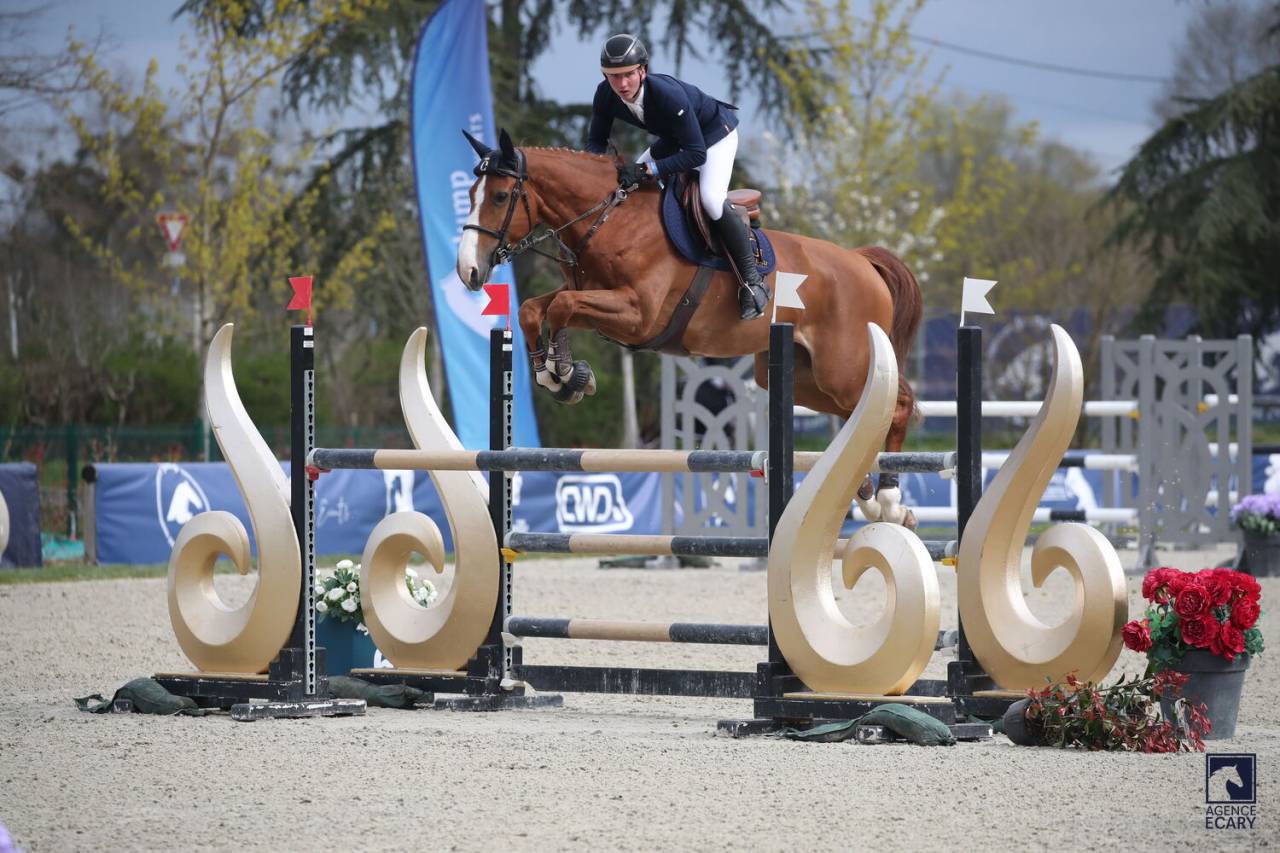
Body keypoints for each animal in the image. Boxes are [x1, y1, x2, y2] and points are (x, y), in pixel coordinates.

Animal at [455, 130, 924, 526]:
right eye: (470, 194)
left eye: (500, 196)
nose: (469, 272)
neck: (612, 222)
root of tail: (862, 261)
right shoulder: (590, 297)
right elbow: (536, 310)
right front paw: (557, 375)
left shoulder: (637, 315)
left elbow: (562, 307)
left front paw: (567, 374)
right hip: (802, 377)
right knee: (859, 413)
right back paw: (866, 495)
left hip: (841, 367)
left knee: (896, 405)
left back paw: (890, 501)